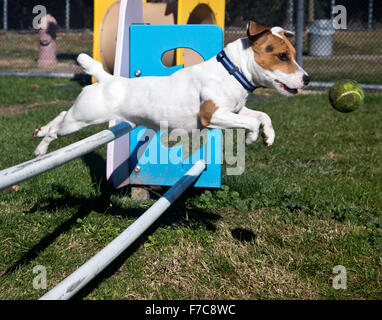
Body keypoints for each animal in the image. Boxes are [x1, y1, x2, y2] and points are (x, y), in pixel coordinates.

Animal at [32, 21, 310, 158]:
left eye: (293, 54)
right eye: (283, 56)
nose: (307, 79)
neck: (232, 71)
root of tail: (105, 78)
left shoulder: (235, 111)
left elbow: (262, 116)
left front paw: (268, 136)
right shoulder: (212, 115)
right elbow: (251, 123)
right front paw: (251, 138)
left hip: (79, 117)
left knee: (60, 116)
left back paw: (39, 131)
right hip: (81, 119)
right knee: (58, 128)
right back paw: (41, 149)